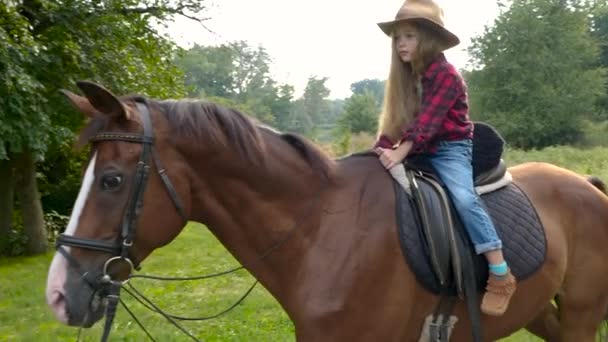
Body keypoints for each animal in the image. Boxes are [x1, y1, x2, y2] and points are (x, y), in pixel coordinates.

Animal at [45, 81, 608, 340]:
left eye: (112, 180)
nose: (58, 295)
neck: (320, 232)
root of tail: (585, 182)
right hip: (539, 312)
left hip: (580, 316)